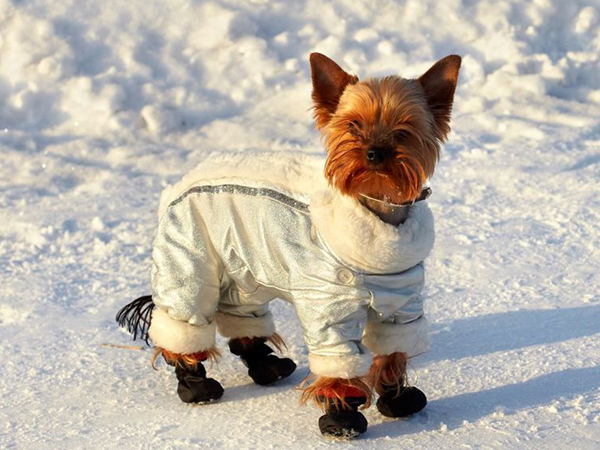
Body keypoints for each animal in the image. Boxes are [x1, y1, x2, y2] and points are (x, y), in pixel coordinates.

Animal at [118, 51, 464, 436]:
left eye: (404, 128)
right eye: (353, 125)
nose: (375, 152)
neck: (378, 214)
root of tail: (182, 183)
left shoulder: (402, 302)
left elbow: (394, 349)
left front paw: (397, 397)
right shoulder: (329, 307)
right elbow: (337, 358)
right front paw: (342, 417)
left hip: (244, 268)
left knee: (242, 315)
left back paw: (265, 364)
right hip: (190, 259)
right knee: (185, 320)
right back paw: (195, 382)